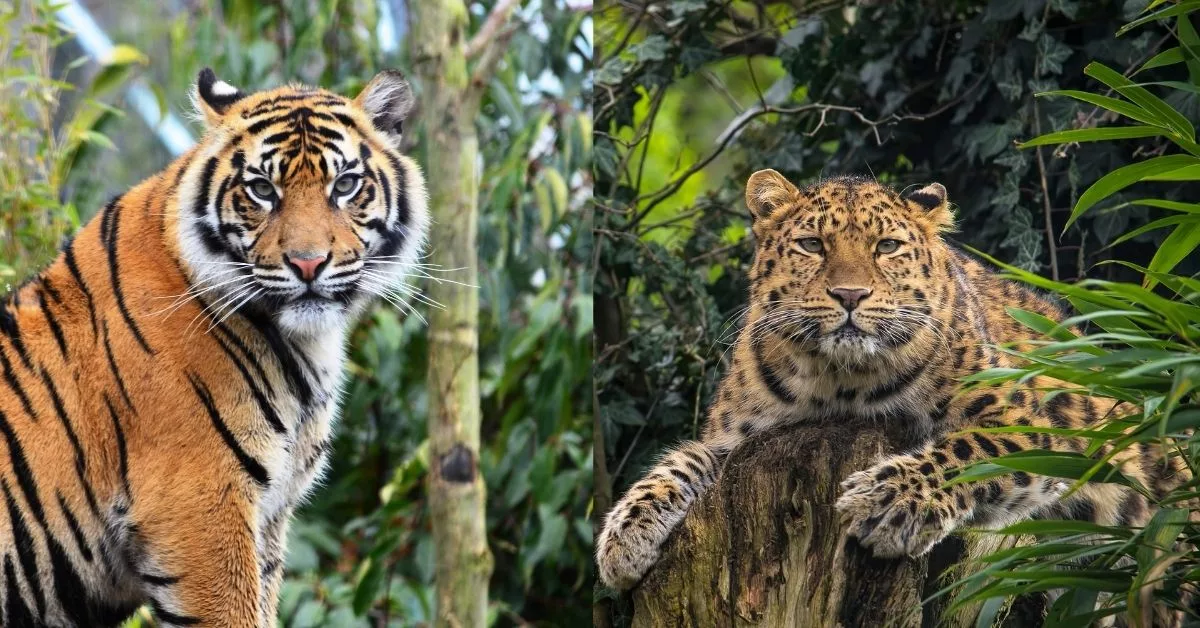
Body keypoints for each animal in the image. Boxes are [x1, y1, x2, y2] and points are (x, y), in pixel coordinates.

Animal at [0, 68, 429, 627]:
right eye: (262, 189)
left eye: (345, 185)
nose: (308, 263)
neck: (303, 344)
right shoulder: (199, 508)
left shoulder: (268, 518)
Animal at [596, 170, 1188, 594]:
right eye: (812, 245)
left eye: (886, 247)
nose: (850, 295)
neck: (840, 381)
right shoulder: (737, 441)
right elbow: (680, 461)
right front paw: (625, 534)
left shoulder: (1033, 424)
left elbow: (966, 449)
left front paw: (887, 501)